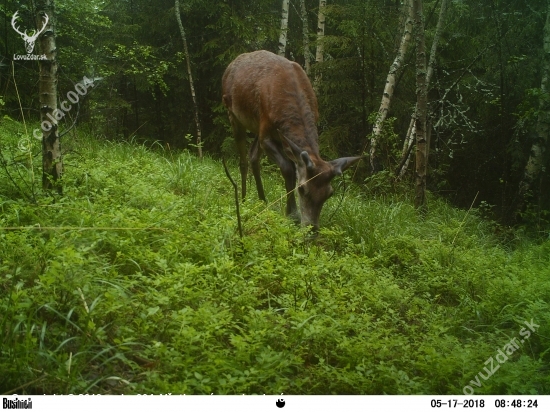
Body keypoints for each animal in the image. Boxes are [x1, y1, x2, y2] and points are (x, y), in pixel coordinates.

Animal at [222, 50, 364, 230]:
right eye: (302, 189)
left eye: (329, 193)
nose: (312, 229)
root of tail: (231, 64)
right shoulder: (266, 133)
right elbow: (288, 168)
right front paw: (292, 214)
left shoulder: (270, 133)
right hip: (233, 114)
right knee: (243, 160)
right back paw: (244, 198)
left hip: (256, 125)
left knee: (253, 156)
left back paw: (262, 200)